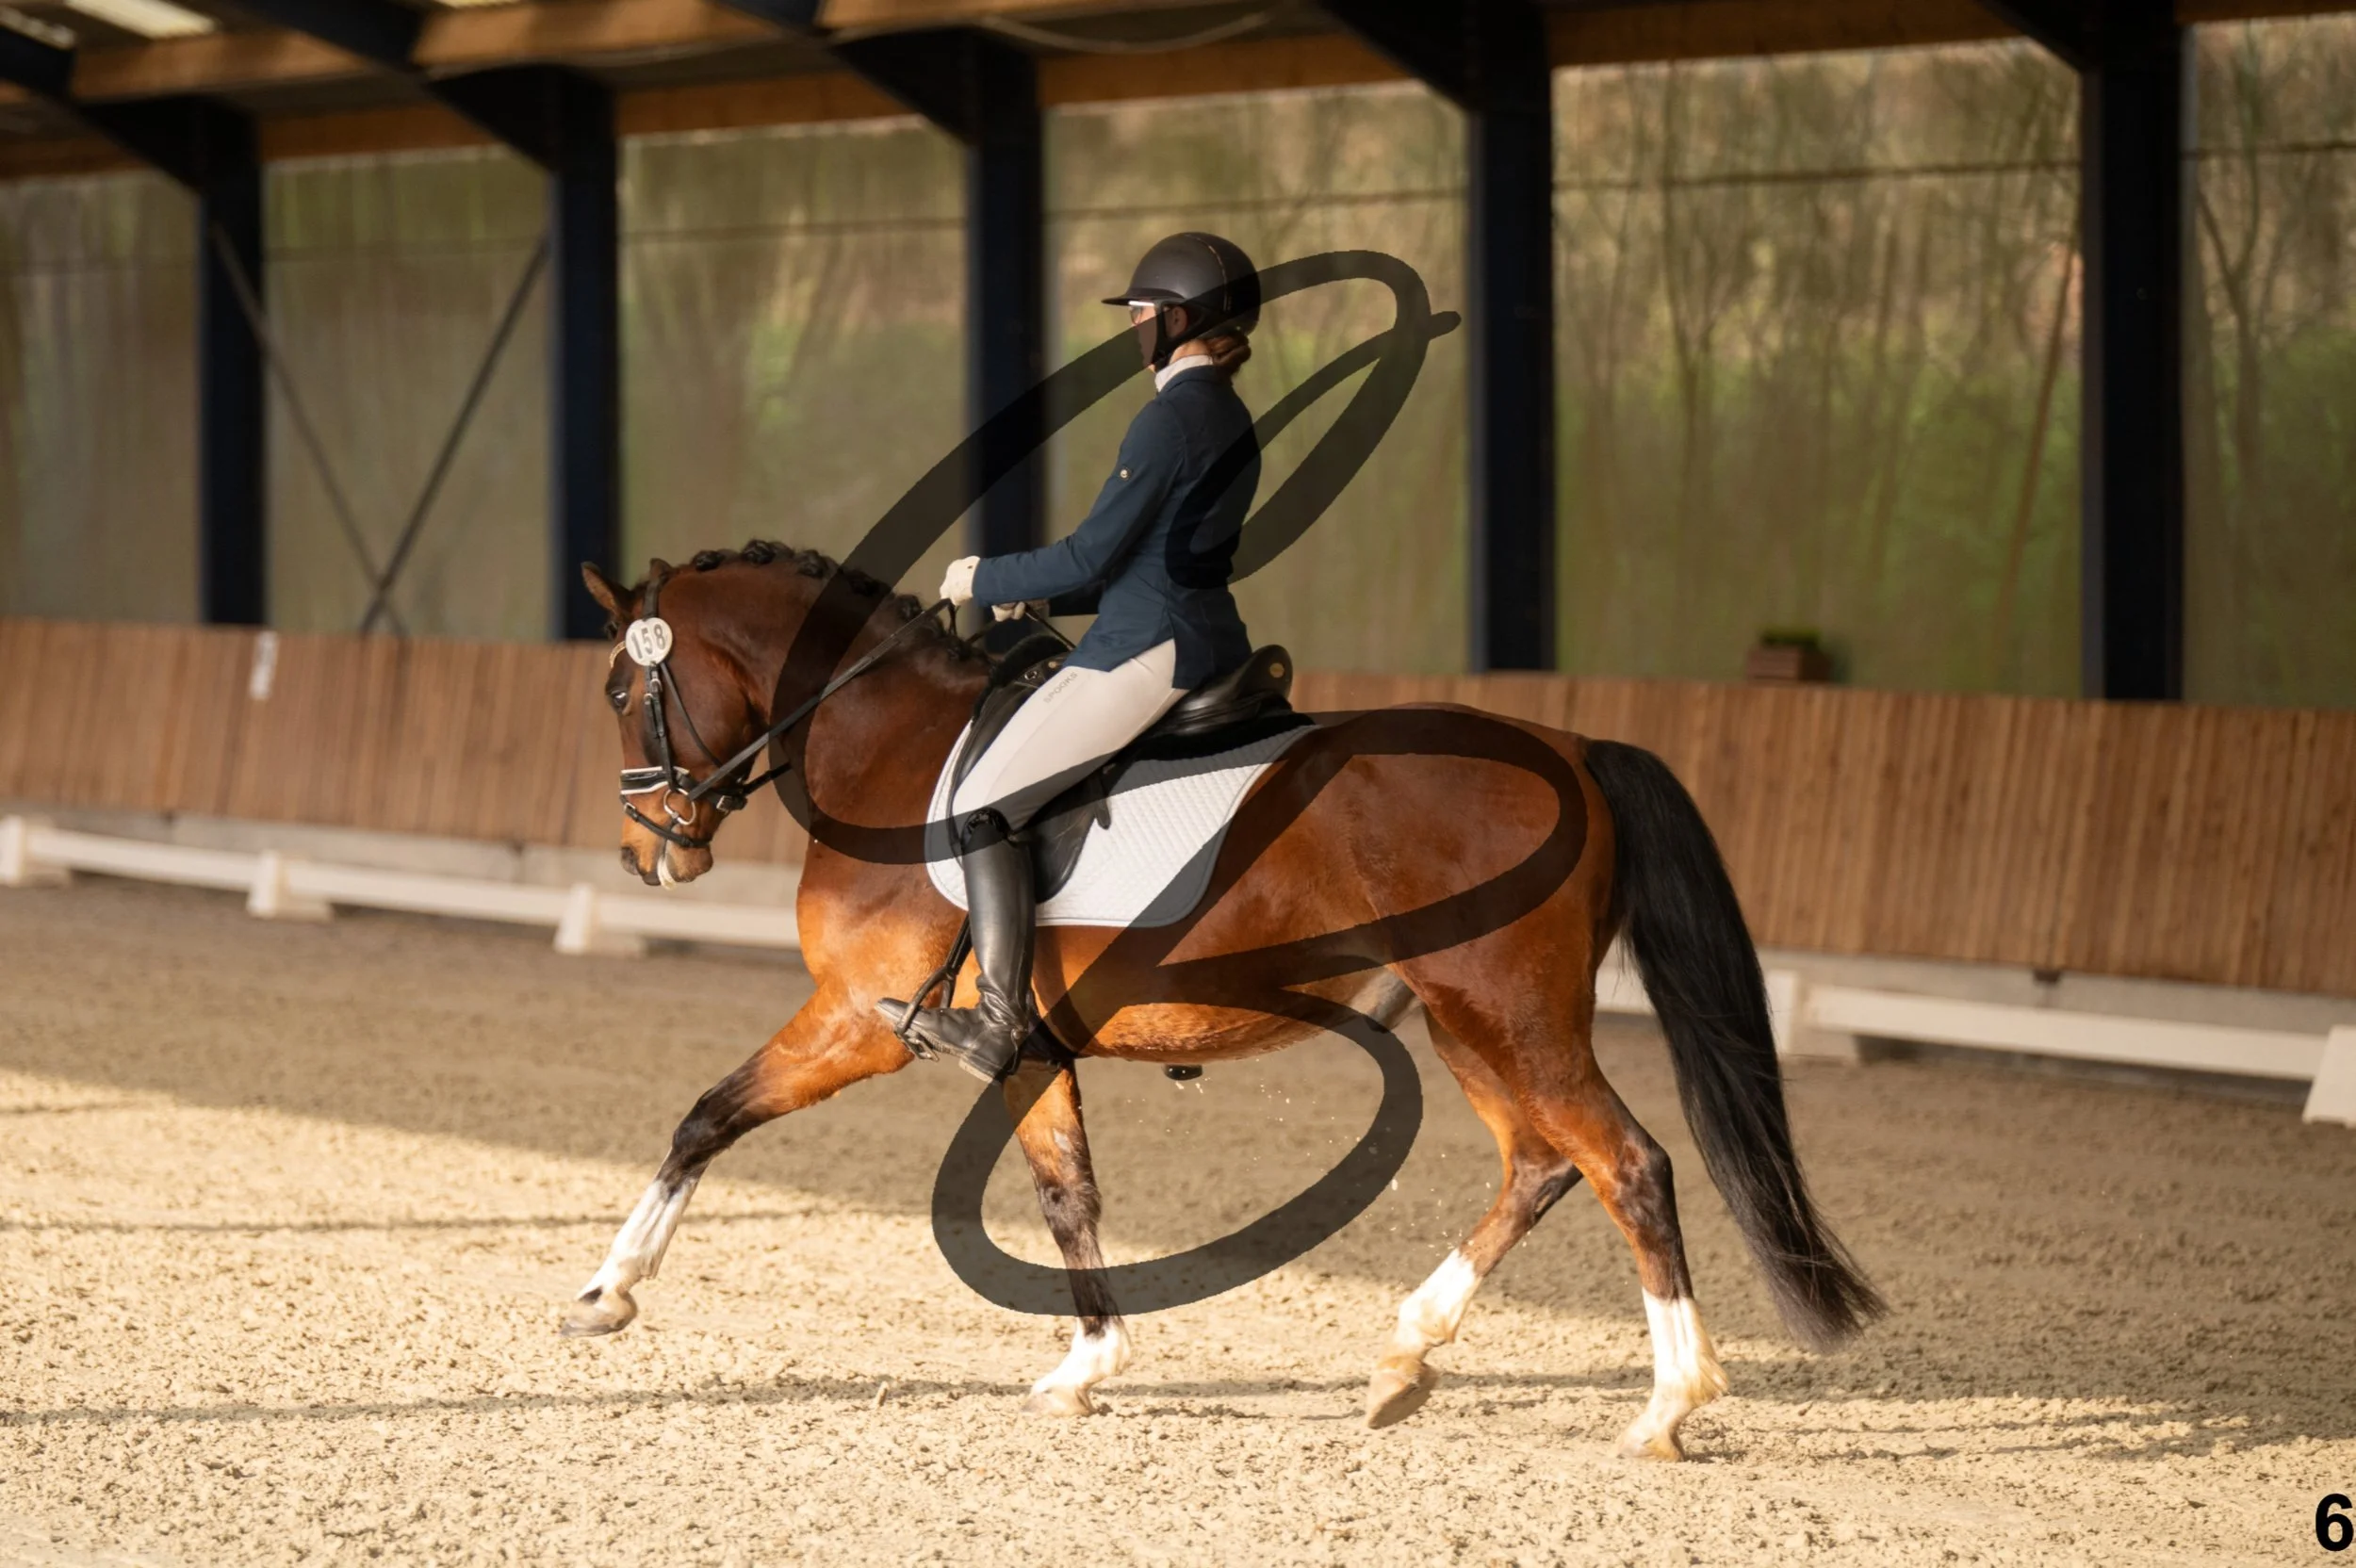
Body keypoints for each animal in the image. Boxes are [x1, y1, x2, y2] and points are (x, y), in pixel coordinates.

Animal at [561, 541, 1882, 1459]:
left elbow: (707, 1115)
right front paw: (1089, 1363)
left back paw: (1667, 1404)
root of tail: (1574, 746)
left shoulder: (859, 1017)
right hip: (1469, 1023)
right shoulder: (1026, 1045)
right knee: (1543, 1164)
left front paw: (608, 1288)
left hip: (1506, 1012)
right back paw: (1404, 1355)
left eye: (623, 696)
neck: (890, 745)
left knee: (1629, 1164)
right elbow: (1067, 1191)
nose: (647, 852)